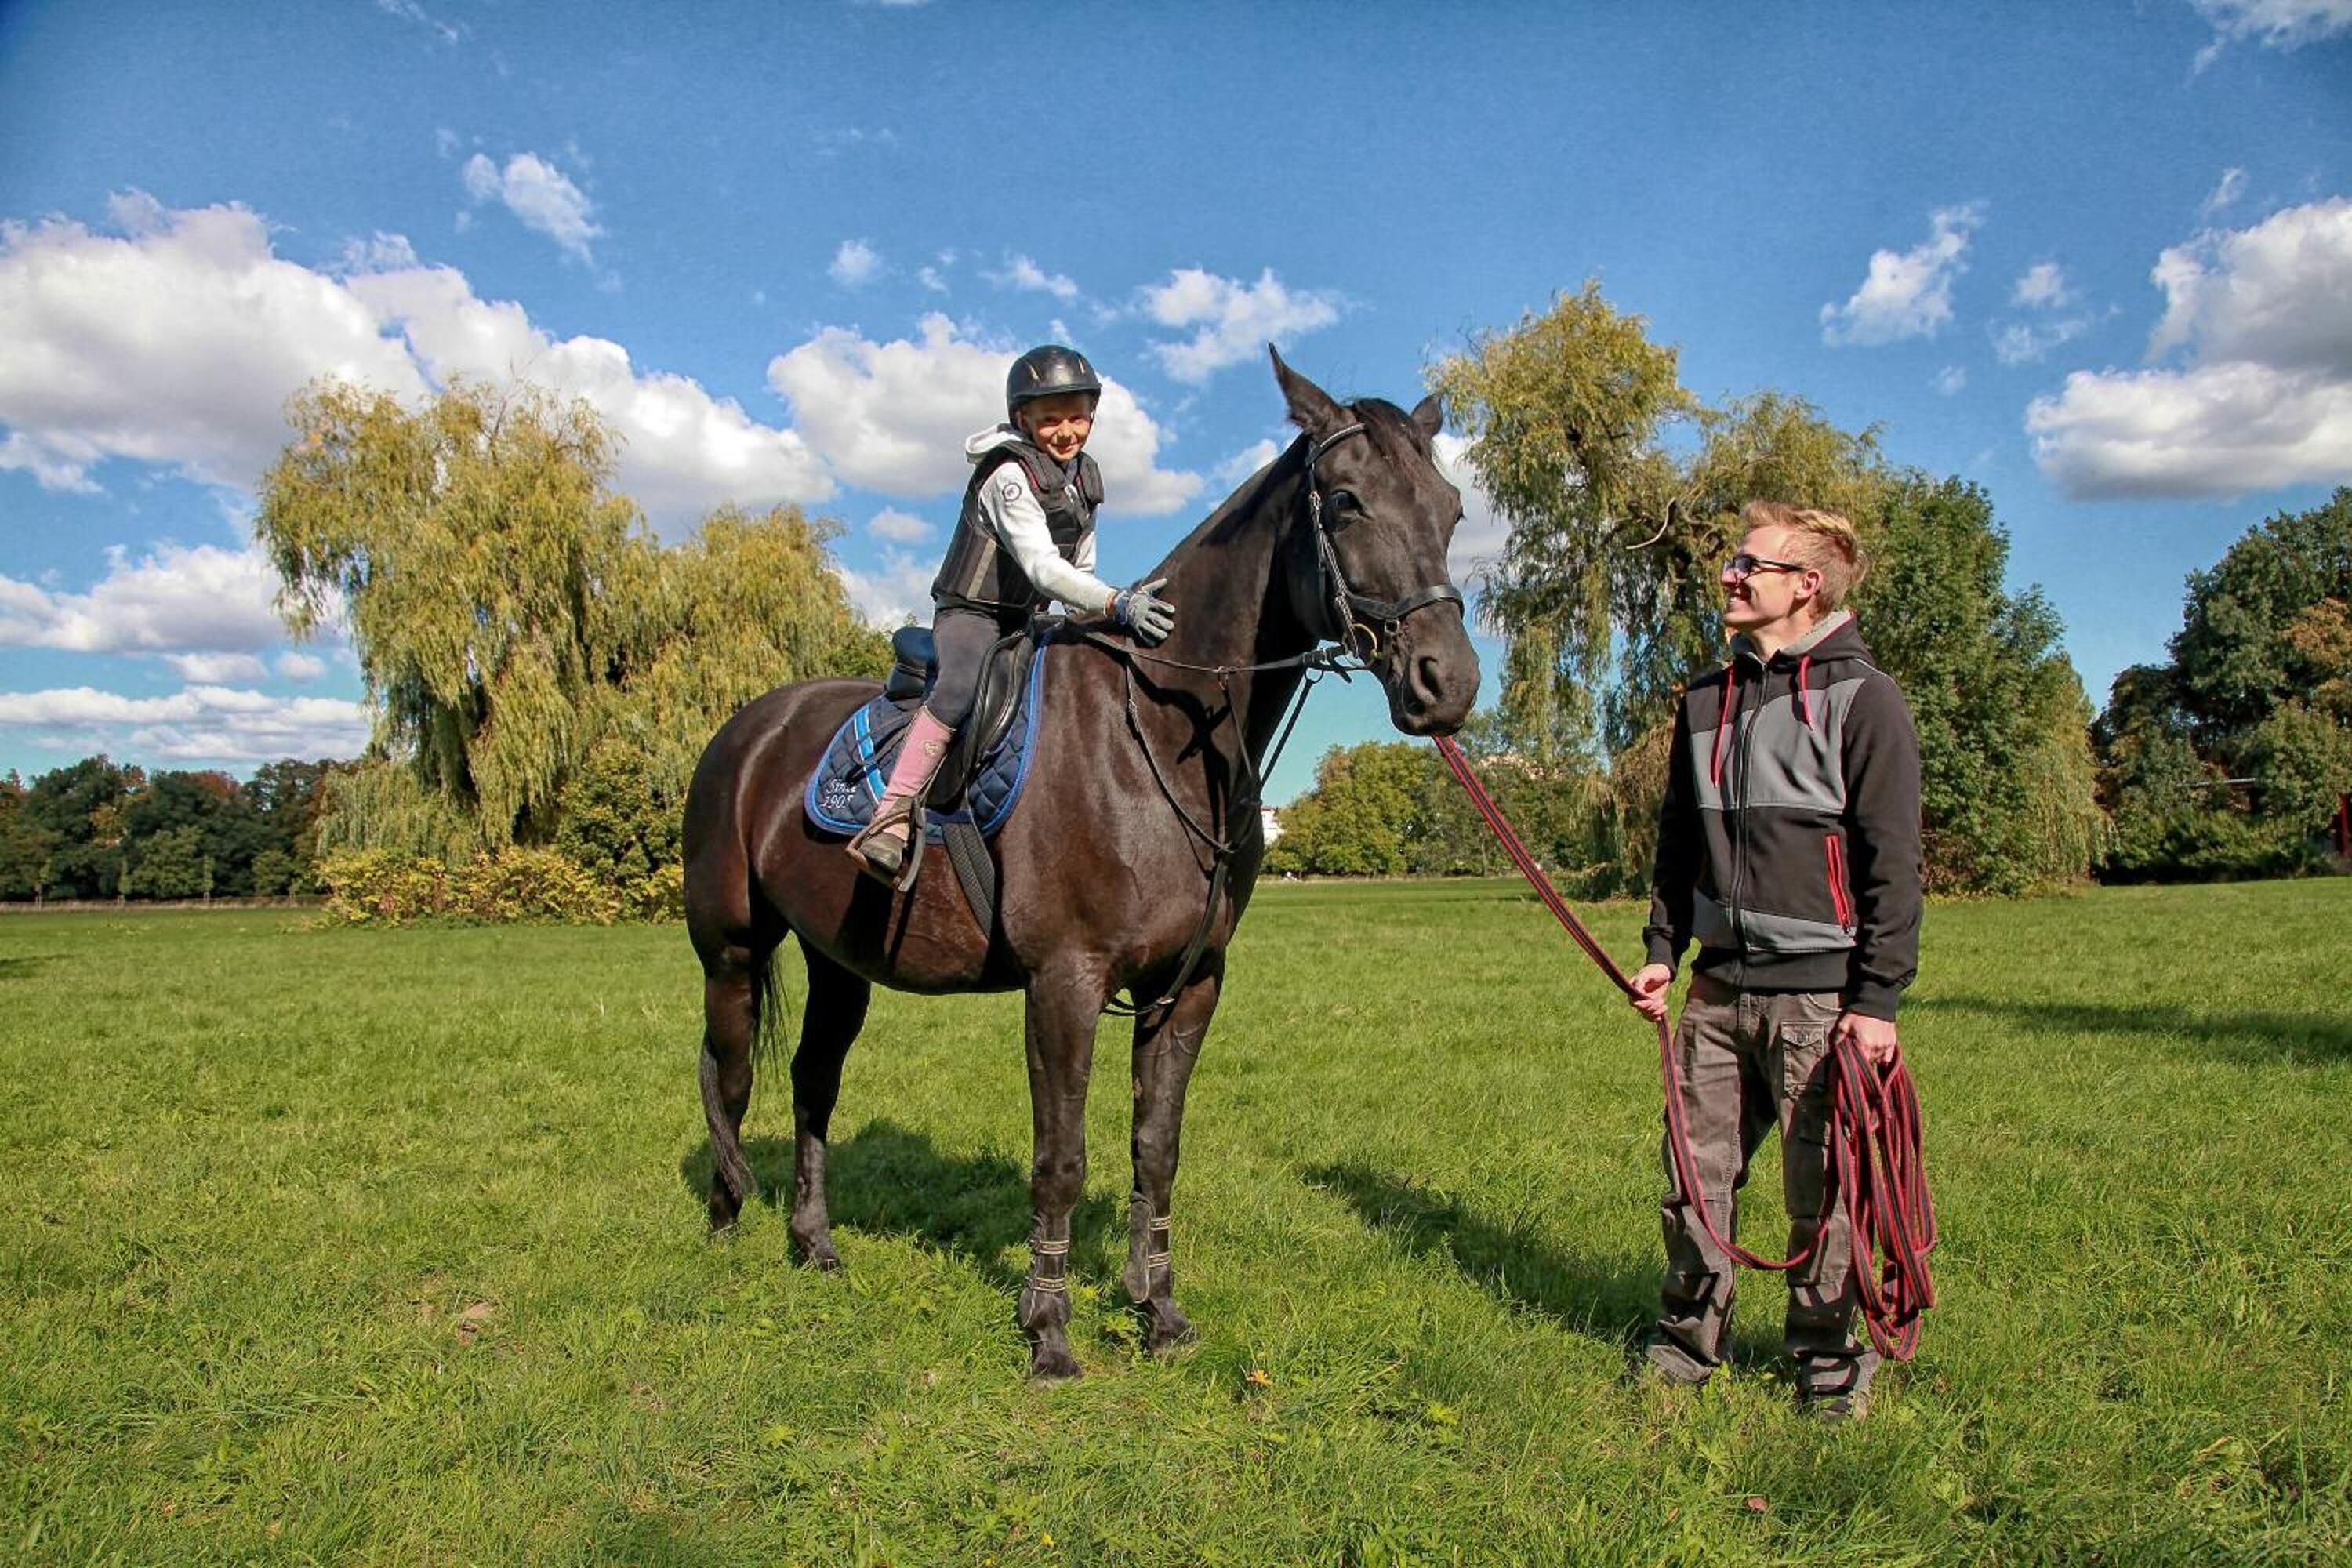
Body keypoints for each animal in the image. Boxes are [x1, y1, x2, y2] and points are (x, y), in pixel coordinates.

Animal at [683, 348, 1480, 1379]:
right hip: (733, 950)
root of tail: (747, 728)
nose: (1447, 682)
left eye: (1452, 508)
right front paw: (1049, 1328)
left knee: (813, 1080)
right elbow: (1061, 1157)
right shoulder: (1064, 982)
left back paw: (814, 1241)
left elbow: (1156, 1149)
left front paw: (1158, 1308)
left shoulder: (1188, 985)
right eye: (1345, 500)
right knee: (729, 1074)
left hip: (838, 963)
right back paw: (726, 1220)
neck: (1155, 731)